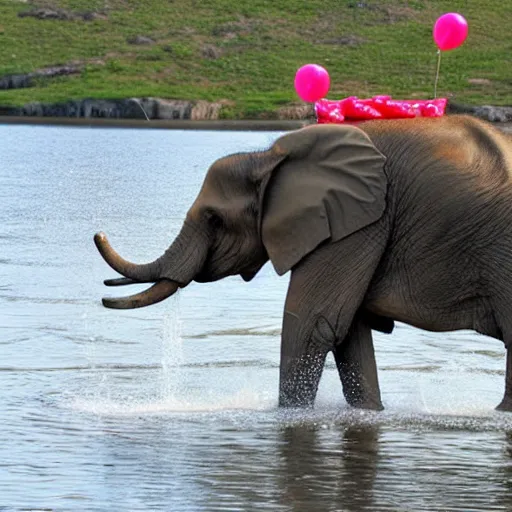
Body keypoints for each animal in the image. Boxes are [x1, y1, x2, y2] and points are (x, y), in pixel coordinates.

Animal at [94, 115, 512, 412]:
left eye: (213, 219)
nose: (98, 235)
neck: (270, 158)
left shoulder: (358, 222)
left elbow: (313, 320)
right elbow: (347, 332)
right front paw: (370, 412)